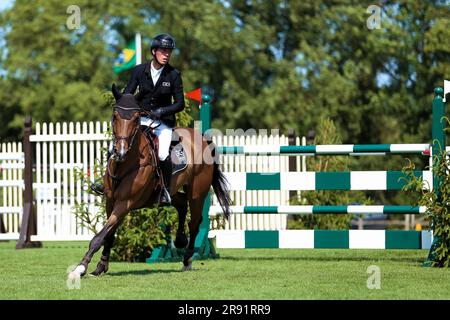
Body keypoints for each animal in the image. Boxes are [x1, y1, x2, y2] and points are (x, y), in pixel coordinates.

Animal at [70, 84, 232, 278]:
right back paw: (179, 239)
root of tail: (201, 138)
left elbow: (99, 237)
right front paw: (101, 266)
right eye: (115, 116)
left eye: (136, 118)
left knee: (194, 223)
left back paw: (187, 260)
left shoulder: (125, 203)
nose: (120, 152)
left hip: (197, 193)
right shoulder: (110, 200)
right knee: (181, 203)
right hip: (170, 192)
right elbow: (108, 234)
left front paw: (80, 268)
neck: (125, 164)